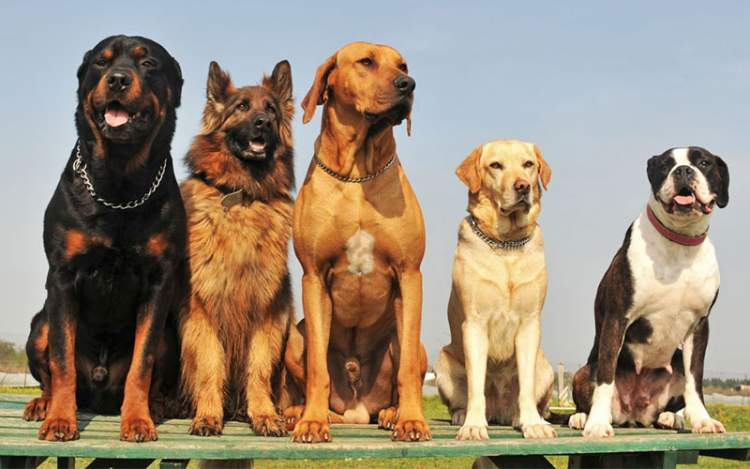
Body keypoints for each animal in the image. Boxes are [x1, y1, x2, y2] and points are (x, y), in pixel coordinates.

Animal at [22, 34, 187, 440]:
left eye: (148, 64)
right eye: (101, 61)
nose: (117, 79)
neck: (120, 182)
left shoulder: (158, 282)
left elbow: (142, 363)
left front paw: (138, 420)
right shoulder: (63, 277)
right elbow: (62, 361)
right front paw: (60, 419)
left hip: (171, 336)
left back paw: (157, 407)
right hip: (39, 324)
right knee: (49, 368)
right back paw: (42, 404)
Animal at [180, 58, 296, 436]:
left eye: (271, 109)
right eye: (242, 107)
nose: (263, 122)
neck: (244, 196)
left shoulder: (266, 310)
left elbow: (257, 369)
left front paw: (264, 415)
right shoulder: (203, 309)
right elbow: (210, 366)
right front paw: (208, 416)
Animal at [572, 146, 732, 436]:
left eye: (704, 162)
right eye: (665, 165)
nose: (683, 170)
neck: (679, 241)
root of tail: (635, 414)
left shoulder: (699, 326)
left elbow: (695, 380)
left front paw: (703, 420)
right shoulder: (617, 318)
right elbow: (606, 377)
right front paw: (597, 423)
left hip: (676, 363)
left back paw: (670, 418)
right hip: (583, 371)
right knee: (591, 386)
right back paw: (581, 417)